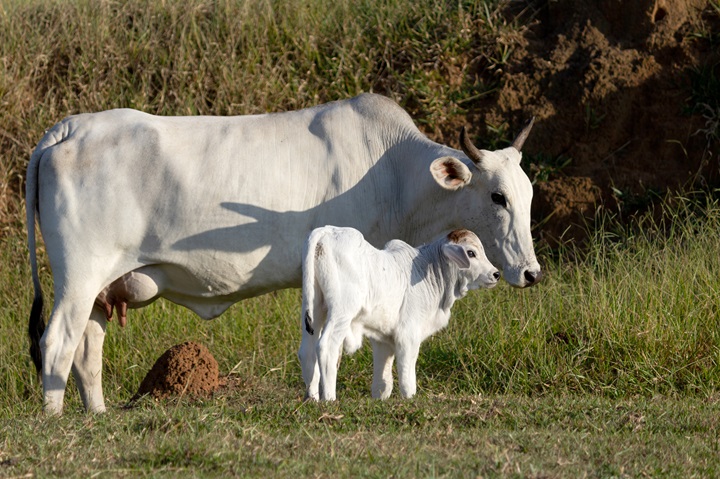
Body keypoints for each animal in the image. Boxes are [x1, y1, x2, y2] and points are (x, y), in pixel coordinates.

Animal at [299, 226, 499, 401]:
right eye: (471, 253)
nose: (496, 274)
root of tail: (327, 231)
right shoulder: (408, 335)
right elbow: (407, 378)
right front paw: (409, 399)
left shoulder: (382, 338)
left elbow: (383, 381)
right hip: (342, 312)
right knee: (326, 347)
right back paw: (329, 398)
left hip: (315, 309)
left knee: (307, 351)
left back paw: (312, 398)